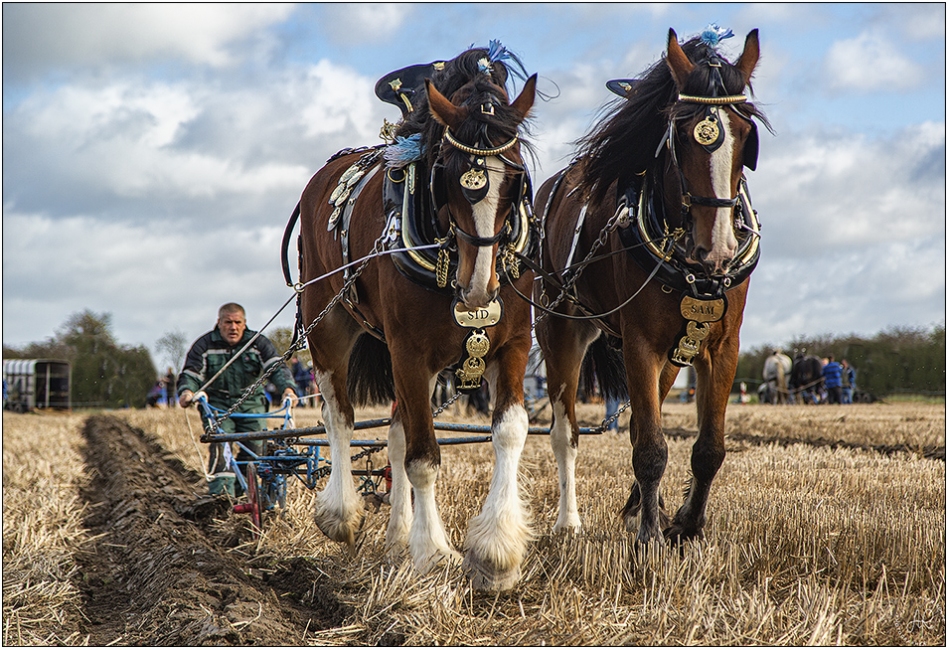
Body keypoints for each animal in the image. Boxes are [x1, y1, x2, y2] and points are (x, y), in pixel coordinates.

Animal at [292, 46, 536, 592]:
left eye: (515, 177)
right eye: (446, 172)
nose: (478, 288)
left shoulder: (512, 344)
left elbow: (509, 431)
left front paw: (495, 553)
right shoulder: (409, 351)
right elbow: (423, 456)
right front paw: (434, 553)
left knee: (396, 429)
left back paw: (396, 537)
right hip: (328, 322)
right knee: (339, 415)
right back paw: (340, 513)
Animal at [532, 26, 772, 540]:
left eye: (746, 134)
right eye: (681, 134)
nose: (717, 249)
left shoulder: (720, 346)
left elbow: (707, 447)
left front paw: (685, 523)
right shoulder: (640, 343)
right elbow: (650, 448)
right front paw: (649, 537)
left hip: (671, 352)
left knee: (645, 421)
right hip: (560, 327)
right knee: (566, 433)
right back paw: (568, 522)